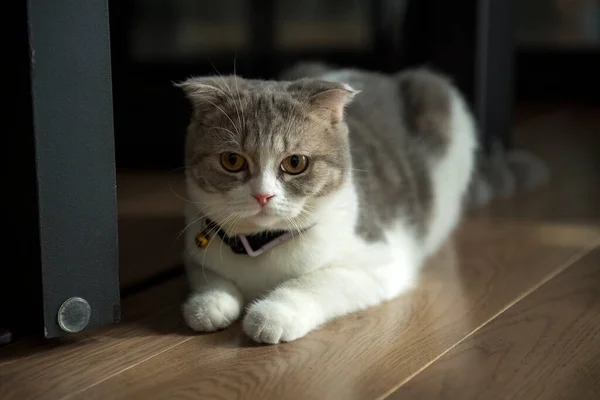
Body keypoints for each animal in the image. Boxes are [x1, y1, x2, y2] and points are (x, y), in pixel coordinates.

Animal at [175, 65, 478, 344]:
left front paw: (273, 314)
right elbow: (207, 276)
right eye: (232, 160)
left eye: (295, 162)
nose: (263, 195)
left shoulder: (382, 261)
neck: (262, 244)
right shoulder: (194, 245)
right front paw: (208, 304)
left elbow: (316, 281)